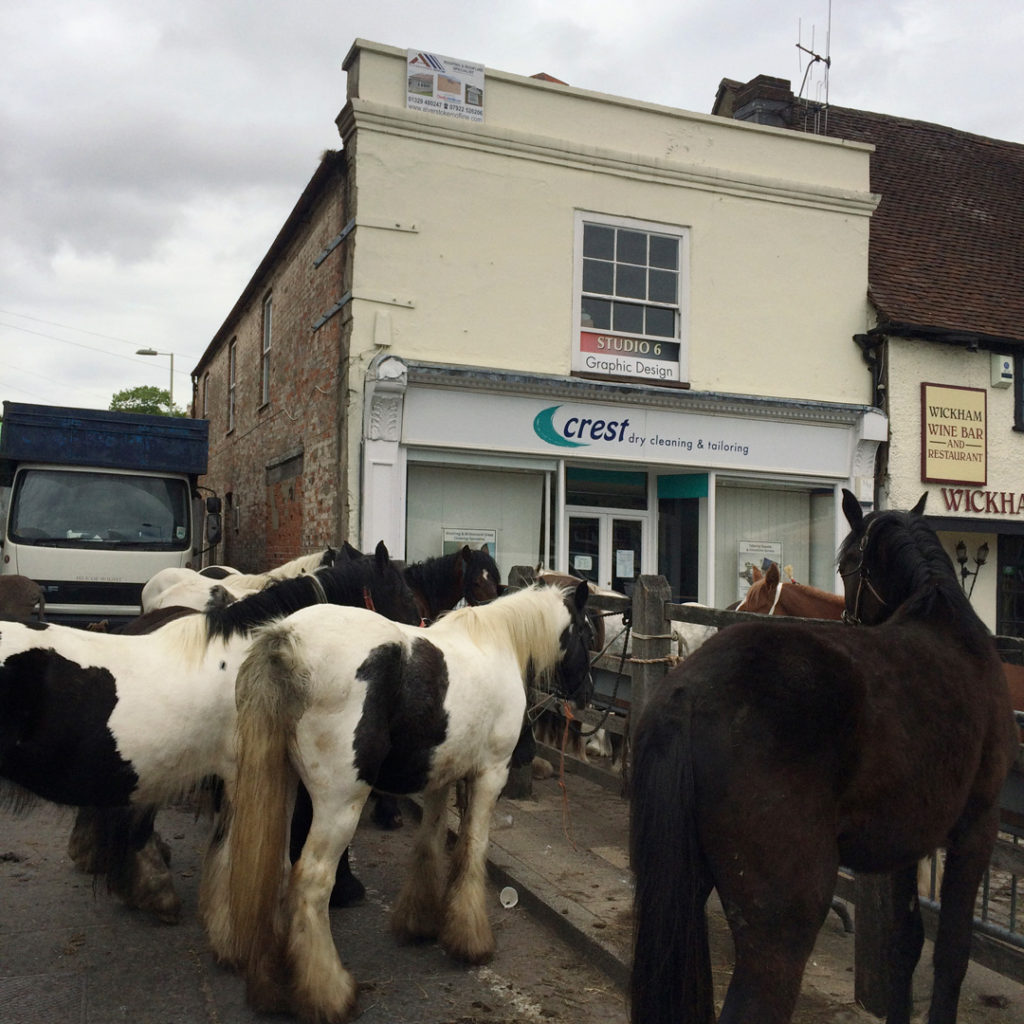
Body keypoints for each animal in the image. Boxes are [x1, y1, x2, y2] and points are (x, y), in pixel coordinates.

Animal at [630, 487, 1015, 1024]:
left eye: (847, 565)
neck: (946, 626)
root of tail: (689, 691)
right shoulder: (976, 826)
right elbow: (952, 952)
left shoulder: (907, 841)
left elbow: (905, 944)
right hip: (784, 920)